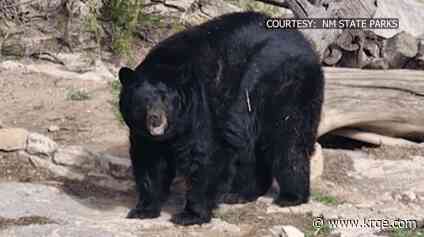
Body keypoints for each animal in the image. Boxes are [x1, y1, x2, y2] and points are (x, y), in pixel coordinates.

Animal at [117, 11, 322, 226]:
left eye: (166, 99)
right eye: (143, 101)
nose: (156, 119)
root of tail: (305, 43)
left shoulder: (200, 107)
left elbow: (206, 154)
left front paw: (190, 214)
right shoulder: (143, 133)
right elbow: (149, 159)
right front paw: (143, 209)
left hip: (287, 88)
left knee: (288, 141)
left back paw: (290, 196)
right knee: (251, 152)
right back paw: (240, 194)